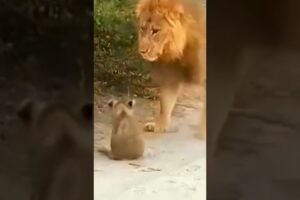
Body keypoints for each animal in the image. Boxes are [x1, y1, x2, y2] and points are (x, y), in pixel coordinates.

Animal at [137, 0, 205, 137]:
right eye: (142, 28)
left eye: (155, 31)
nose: (142, 51)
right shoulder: (171, 73)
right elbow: (165, 102)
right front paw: (159, 126)